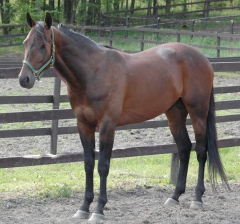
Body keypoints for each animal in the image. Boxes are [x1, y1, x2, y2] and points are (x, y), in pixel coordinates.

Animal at [18, 13, 229, 221]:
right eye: (25, 43)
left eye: (43, 45)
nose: (24, 79)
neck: (94, 71)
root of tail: (202, 57)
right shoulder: (84, 125)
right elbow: (88, 164)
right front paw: (84, 207)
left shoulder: (107, 125)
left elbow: (103, 165)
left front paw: (99, 209)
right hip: (175, 113)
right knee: (184, 148)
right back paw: (175, 196)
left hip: (198, 112)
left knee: (201, 151)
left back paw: (197, 198)